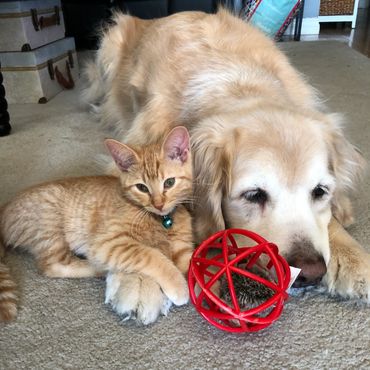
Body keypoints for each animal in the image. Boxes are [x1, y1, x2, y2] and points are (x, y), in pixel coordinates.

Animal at [0, 127, 195, 324]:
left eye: (169, 182)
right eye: (142, 187)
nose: (158, 204)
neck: (161, 220)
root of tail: (5, 206)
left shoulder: (183, 247)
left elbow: (193, 265)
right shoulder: (107, 242)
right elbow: (150, 255)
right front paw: (178, 285)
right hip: (49, 226)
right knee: (51, 265)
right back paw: (101, 269)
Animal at [84, 8, 370, 324]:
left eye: (320, 191)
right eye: (254, 195)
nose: (310, 272)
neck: (238, 85)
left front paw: (351, 254)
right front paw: (138, 278)